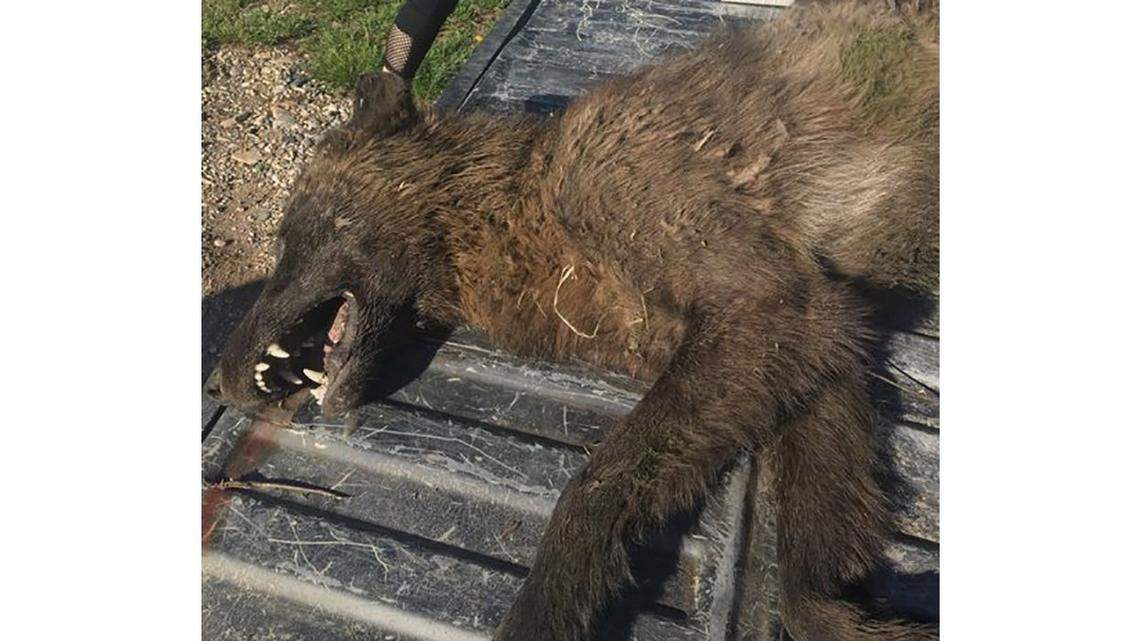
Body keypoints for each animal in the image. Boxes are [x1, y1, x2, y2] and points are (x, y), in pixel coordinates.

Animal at [207, 1, 939, 639]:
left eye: (289, 228)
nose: (219, 379)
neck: (521, 206)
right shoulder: (822, 341)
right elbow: (810, 582)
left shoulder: (773, 304)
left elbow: (590, 488)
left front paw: (542, 614)